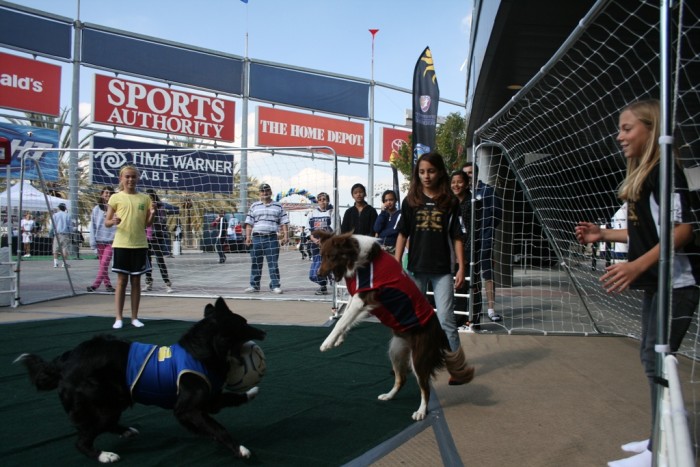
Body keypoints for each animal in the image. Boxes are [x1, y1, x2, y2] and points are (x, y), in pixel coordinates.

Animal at [14, 298, 266, 462]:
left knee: (103, 425)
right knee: (83, 439)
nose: (263, 332)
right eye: (244, 323)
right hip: (103, 402)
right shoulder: (187, 409)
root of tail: (66, 359)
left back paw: (126, 431)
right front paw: (240, 449)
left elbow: (228, 399)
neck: (201, 351)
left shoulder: (208, 400)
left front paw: (250, 392)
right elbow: (218, 428)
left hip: (116, 399)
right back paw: (104, 455)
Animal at [318, 233, 476, 420]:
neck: (361, 258)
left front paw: (327, 343)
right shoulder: (362, 298)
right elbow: (346, 317)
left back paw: (421, 411)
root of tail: (439, 333)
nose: (319, 274)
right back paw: (389, 395)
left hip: (419, 358)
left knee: (425, 387)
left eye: (331, 256)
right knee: (402, 379)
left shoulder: (364, 297)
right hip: (396, 350)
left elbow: (341, 321)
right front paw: (338, 340)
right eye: (322, 255)